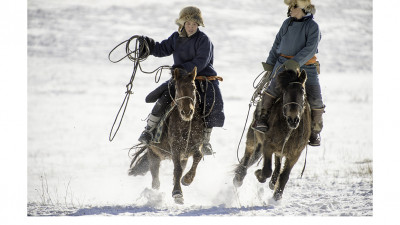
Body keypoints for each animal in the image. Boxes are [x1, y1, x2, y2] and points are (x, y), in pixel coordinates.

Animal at [127, 66, 203, 204]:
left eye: (194, 87)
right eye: (177, 88)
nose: (187, 112)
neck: (186, 124)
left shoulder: (195, 145)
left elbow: (198, 156)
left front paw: (187, 179)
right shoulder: (175, 148)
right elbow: (177, 170)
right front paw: (177, 193)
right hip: (154, 155)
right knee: (155, 181)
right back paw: (154, 196)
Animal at [231, 69, 312, 201]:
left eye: (303, 93)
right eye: (285, 93)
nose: (293, 119)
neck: (288, 130)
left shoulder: (295, 154)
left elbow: (284, 175)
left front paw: (277, 195)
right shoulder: (268, 146)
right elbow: (266, 170)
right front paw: (259, 174)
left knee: (277, 164)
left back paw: (273, 182)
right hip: (253, 138)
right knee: (248, 155)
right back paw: (239, 178)